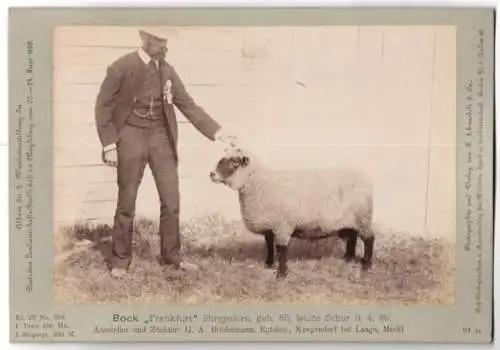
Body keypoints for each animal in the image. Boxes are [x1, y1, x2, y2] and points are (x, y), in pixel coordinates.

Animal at [208, 148, 376, 278]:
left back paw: (366, 265)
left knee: (369, 239)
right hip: (351, 220)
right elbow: (269, 244)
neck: (258, 182)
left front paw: (281, 274)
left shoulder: (283, 225)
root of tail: (366, 180)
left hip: (362, 217)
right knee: (352, 237)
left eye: (234, 161)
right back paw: (348, 259)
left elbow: (281, 249)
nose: (212, 174)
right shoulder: (270, 224)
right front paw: (268, 264)